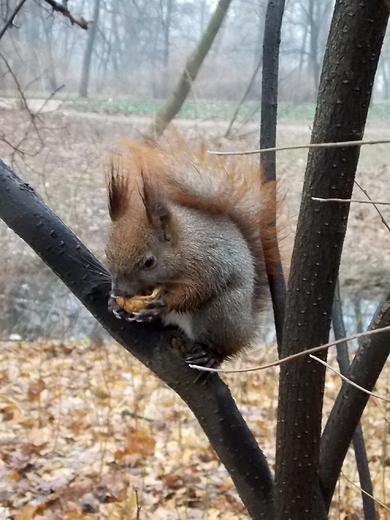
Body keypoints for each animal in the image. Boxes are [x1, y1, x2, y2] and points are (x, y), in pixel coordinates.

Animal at [105, 140, 278, 368]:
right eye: (107, 252)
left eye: (149, 262)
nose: (119, 291)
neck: (183, 246)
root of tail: (247, 327)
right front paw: (114, 304)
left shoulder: (207, 264)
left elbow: (195, 290)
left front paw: (162, 303)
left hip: (221, 314)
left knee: (223, 347)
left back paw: (210, 356)